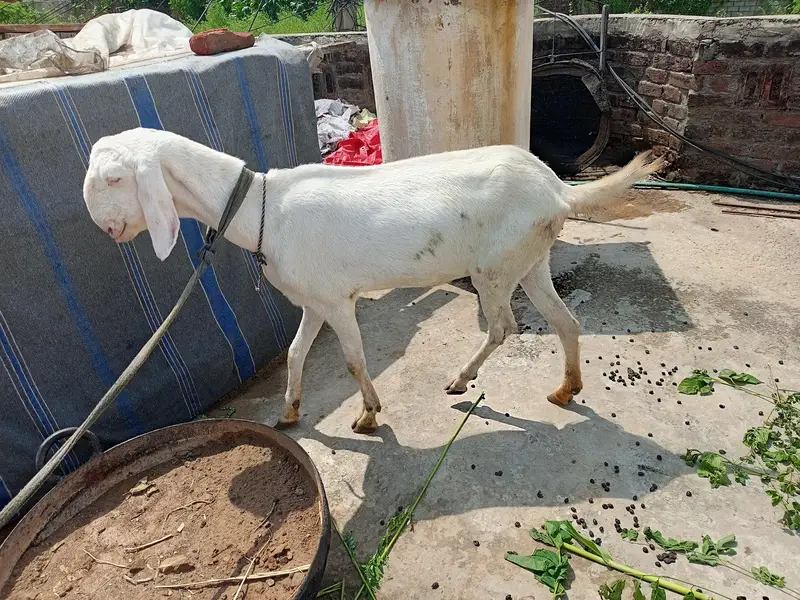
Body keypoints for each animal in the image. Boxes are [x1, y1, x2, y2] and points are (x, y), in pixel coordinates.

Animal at [83, 128, 662, 433]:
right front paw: (289, 412)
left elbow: (353, 359)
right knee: (565, 320)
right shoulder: (312, 300)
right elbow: (295, 353)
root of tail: (557, 187)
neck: (262, 207)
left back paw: (460, 379)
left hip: (494, 266)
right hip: (530, 257)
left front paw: (367, 416)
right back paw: (566, 389)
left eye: (114, 178)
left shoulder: (338, 300)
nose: (101, 225)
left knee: (504, 326)